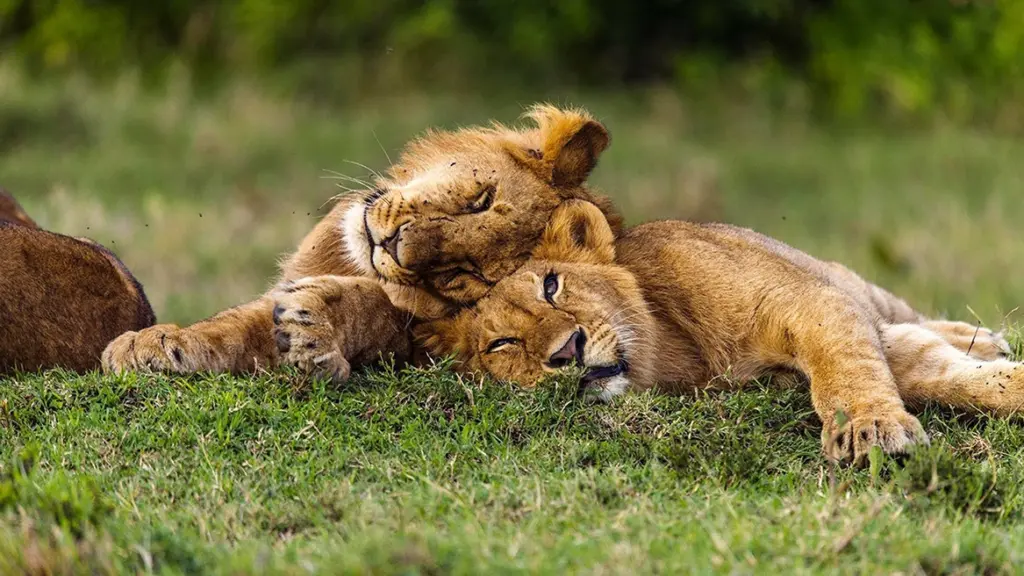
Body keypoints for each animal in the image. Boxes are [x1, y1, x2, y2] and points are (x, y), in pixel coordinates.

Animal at [416, 201, 1021, 463]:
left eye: (551, 285)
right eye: (501, 344)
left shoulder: (811, 300)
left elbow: (847, 368)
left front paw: (871, 429)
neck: (674, 350)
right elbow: (944, 376)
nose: (568, 352)